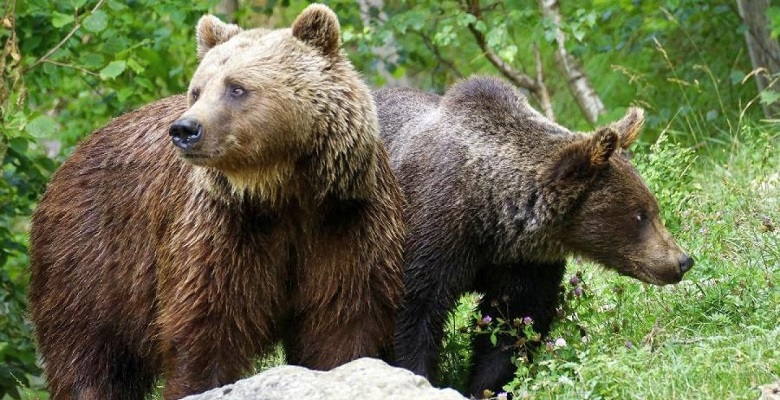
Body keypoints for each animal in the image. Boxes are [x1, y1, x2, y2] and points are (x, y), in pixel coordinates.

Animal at [28, 3, 406, 400]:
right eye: (196, 90)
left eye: (236, 88)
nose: (185, 129)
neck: (282, 191)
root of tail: (71, 158)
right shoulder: (222, 229)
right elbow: (208, 328)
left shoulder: (345, 222)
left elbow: (344, 320)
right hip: (92, 259)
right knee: (87, 354)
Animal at [374, 76, 696, 398]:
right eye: (640, 214)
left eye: (652, 208)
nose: (683, 260)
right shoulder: (433, 237)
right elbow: (414, 316)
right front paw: (417, 375)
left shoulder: (525, 263)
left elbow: (514, 327)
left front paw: (488, 386)